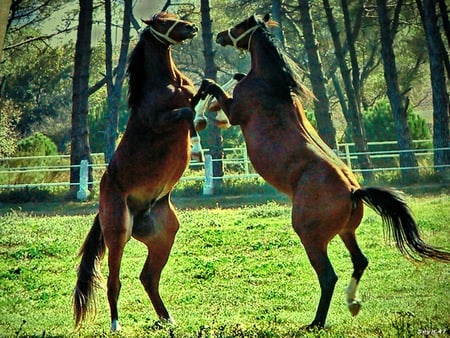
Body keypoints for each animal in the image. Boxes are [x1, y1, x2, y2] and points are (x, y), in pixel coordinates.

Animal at [74, 11, 202, 332]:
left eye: (174, 16)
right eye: (162, 21)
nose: (191, 27)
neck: (165, 84)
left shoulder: (191, 95)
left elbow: (201, 95)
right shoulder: (163, 120)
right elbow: (187, 113)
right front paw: (197, 143)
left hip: (164, 235)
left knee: (148, 277)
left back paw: (167, 318)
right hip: (118, 234)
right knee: (114, 281)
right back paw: (116, 325)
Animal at [198, 14, 450, 328]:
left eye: (240, 26)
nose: (221, 35)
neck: (271, 85)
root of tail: (355, 191)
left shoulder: (236, 112)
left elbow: (216, 91)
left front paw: (206, 95)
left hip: (311, 237)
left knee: (328, 276)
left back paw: (316, 321)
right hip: (346, 231)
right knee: (360, 261)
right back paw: (353, 303)